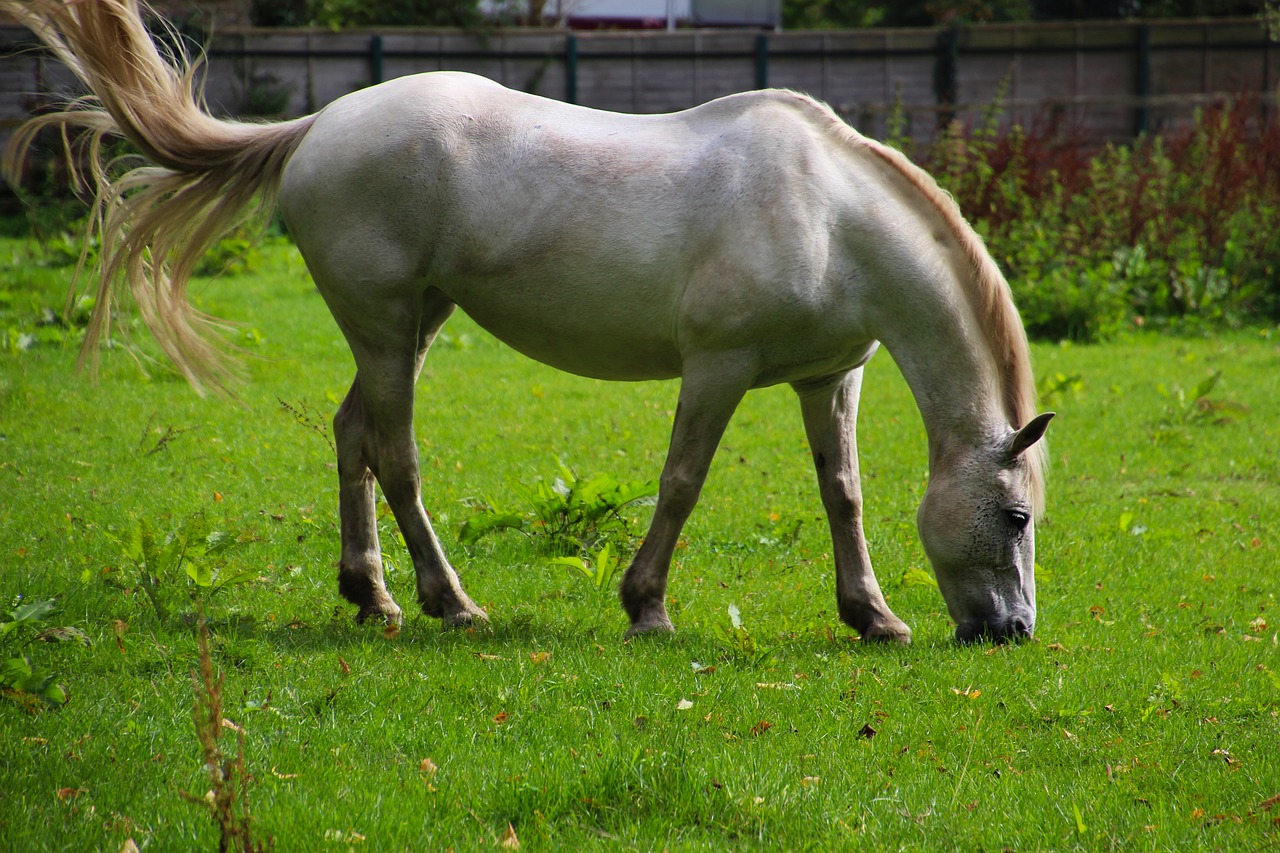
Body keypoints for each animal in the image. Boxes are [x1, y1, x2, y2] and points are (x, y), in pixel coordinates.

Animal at [5, 0, 1054, 637]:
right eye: (1014, 514)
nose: (1011, 631)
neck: (830, 216)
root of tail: (320, 126)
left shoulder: (827, 377)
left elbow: (844, 494)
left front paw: (873, 616)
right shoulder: (717, 368)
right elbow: (682, 482)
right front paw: (647, 608)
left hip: (414, 323)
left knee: (352, 435)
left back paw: (372, 595)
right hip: (388, 326)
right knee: (394, 452)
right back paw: (450, 602)